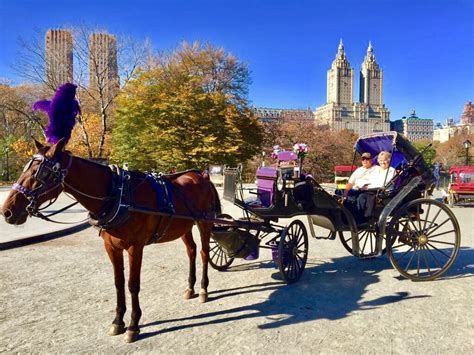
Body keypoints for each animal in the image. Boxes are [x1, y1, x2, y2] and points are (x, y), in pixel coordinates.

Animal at [0, 138, 220, 342]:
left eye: (40, 173)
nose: (7, 211)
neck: (117, 194)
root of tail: (201, 175)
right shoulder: (112, 247)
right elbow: (118, 282)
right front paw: (118, 321)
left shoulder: (135, 247)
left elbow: (132, 284)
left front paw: (133, 325)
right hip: (184, 226)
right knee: (191, 251)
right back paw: (190, 287)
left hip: (204, 222)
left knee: (203, 253)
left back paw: (203, 289)